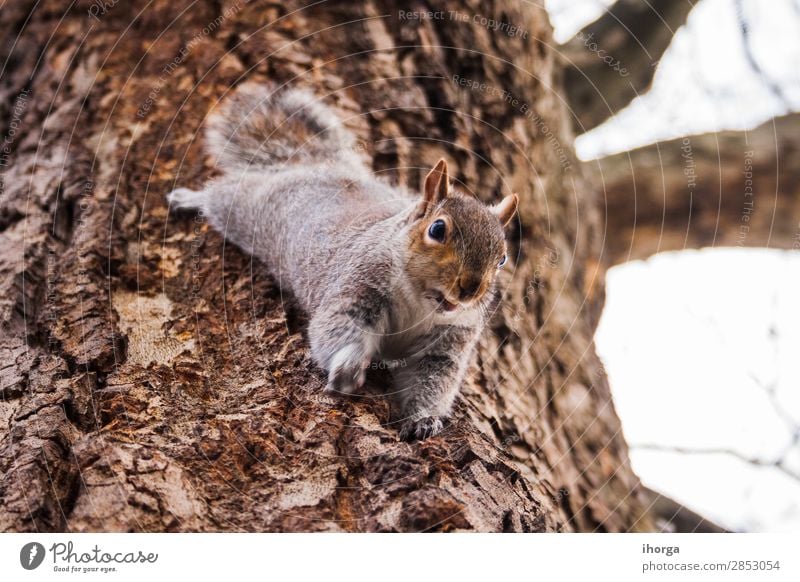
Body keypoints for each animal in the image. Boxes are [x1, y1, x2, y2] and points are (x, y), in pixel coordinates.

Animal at [168, 85, 520, 442]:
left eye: (502, 258)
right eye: (437, 229)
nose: (470, 289)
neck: (421, 304)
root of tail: (322, 166)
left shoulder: (449, 341)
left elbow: (432, 380)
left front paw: (424, 419)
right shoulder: (357, 286)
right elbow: (338, 328)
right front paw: (349, 368)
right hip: (250, 210)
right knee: (225, 194)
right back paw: (190, 199)